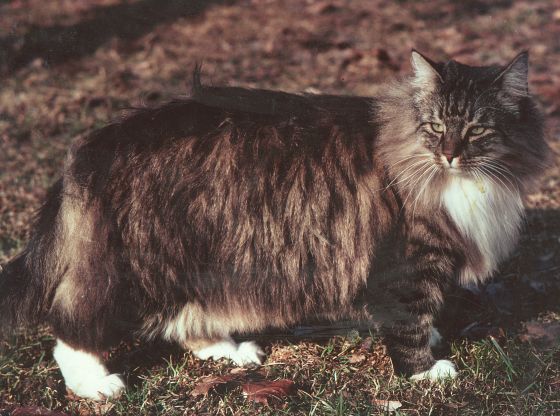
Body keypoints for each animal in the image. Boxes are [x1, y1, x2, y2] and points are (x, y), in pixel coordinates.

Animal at [0, 49, 548, 400]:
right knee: (72, 327)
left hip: (200, 258)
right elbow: (410, 322)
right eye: (436, 126)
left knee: (184, 317)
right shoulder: (409, 262)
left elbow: (422, 317)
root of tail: (92, 148)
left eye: (476, 129)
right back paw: (96, 385)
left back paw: (229, 351)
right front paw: (426, 372)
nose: (450, 154)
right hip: (136, 266)